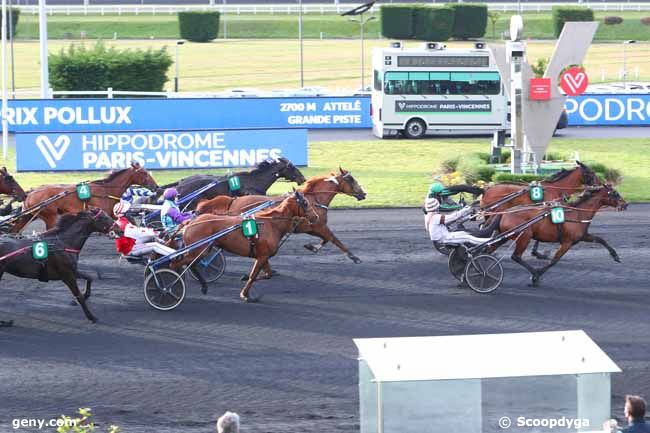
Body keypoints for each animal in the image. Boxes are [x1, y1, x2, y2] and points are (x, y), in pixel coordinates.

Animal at [17, 161, 157, 230]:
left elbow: (130, 220)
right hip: (50, 216)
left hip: (32, 215)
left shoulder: (110, 213)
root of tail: (30, 193)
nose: (156, 187)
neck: (106, 190)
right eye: (144, 173)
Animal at [171, 191, 316, 302]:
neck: (271, 224)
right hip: (198, 250)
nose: (316, 216)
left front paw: (245, 279)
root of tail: (191, 222)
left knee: (191, 265)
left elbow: (268, 274)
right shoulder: (262, 256)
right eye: (305, 203)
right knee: (176, 264)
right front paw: (245, 294)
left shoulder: (264, 256)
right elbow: (253, 276)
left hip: (203, 250)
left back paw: (202, 286)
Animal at [195, 167, 368, 268]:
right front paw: (354, 257)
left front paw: (312, 247)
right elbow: (334, 239)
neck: (314, 199)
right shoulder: (319, 226)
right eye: (351, 179)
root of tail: (233, 200)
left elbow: (326, 239)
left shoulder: (312, 227)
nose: (364, 193)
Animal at [494, 183, 624, 286]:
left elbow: (600, 239)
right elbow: (554, 260)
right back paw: (533, 272)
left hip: (504, 237)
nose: (625, 204)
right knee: (515, 256)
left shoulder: (582, 236)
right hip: (524, 237)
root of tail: (505, 212)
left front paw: (615, 256)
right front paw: (536, 276)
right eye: (615, 193)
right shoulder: (567, 242)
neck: (577, 214)